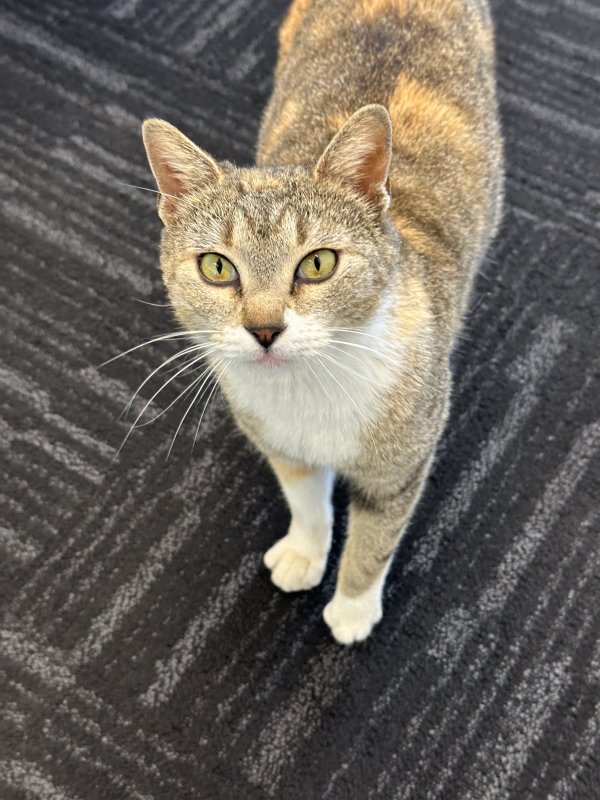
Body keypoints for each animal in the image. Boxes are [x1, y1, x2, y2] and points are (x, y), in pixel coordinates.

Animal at [139, 0, 502, 644]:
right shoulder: (281, 441)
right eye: (216, 267)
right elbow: (306, 503)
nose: (264, 329)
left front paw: (353, 607)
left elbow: (375, 539)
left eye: (318, 263)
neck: (308, 386)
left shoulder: (401, 463)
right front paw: (305, 552)